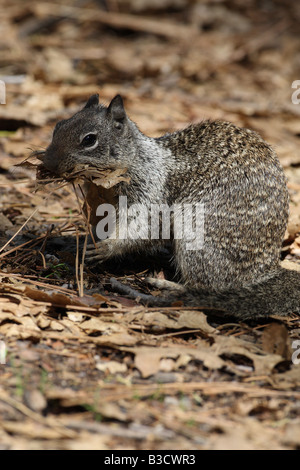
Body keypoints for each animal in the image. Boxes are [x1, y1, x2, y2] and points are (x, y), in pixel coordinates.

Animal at [42, 93, 300, 318]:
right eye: (58, 126)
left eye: (89, 139)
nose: (48, 163)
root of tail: (265, 270)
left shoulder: (151, 191)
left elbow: (145, 227)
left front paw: (107, 248)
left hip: (199, 237)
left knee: (210, 287)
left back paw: (168, 286)